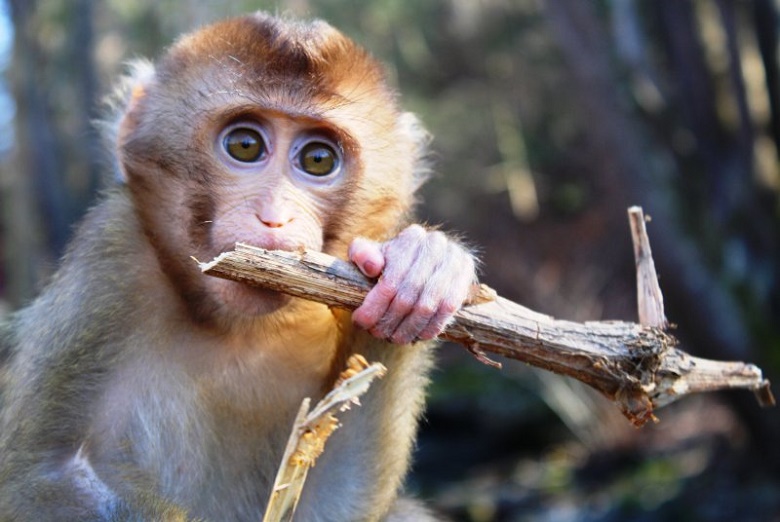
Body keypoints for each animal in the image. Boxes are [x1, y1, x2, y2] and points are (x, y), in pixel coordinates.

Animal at [0, 12, 476, 520]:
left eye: (318, 159)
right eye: (245, 145)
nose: (274, 215)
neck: (233, 327)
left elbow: (329, 502)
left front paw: (422, 266)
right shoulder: (109, 258)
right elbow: (33, 478)